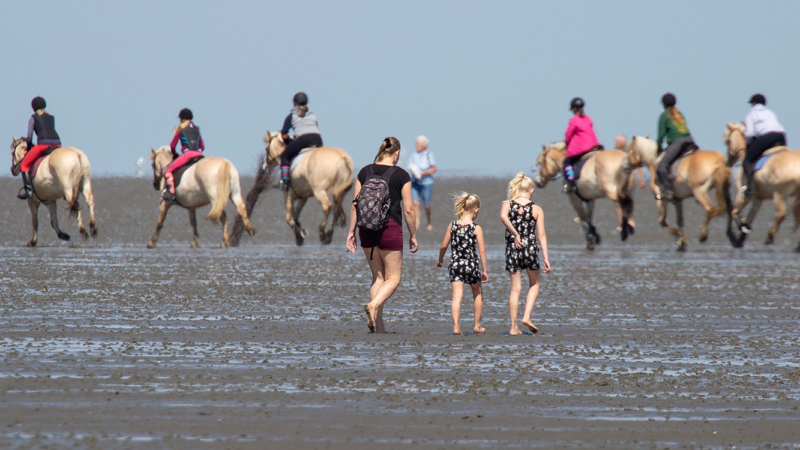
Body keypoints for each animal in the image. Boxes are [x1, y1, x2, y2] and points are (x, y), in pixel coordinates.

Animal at [720, 122, 800, 250]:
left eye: (728, 141)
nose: (727, 162)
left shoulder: (743, 196)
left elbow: (734, 212)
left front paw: (742, 228)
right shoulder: (758, 199)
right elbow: (750, 216)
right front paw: (740, 238)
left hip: (778, 195)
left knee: (780, 214)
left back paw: (769, 237)